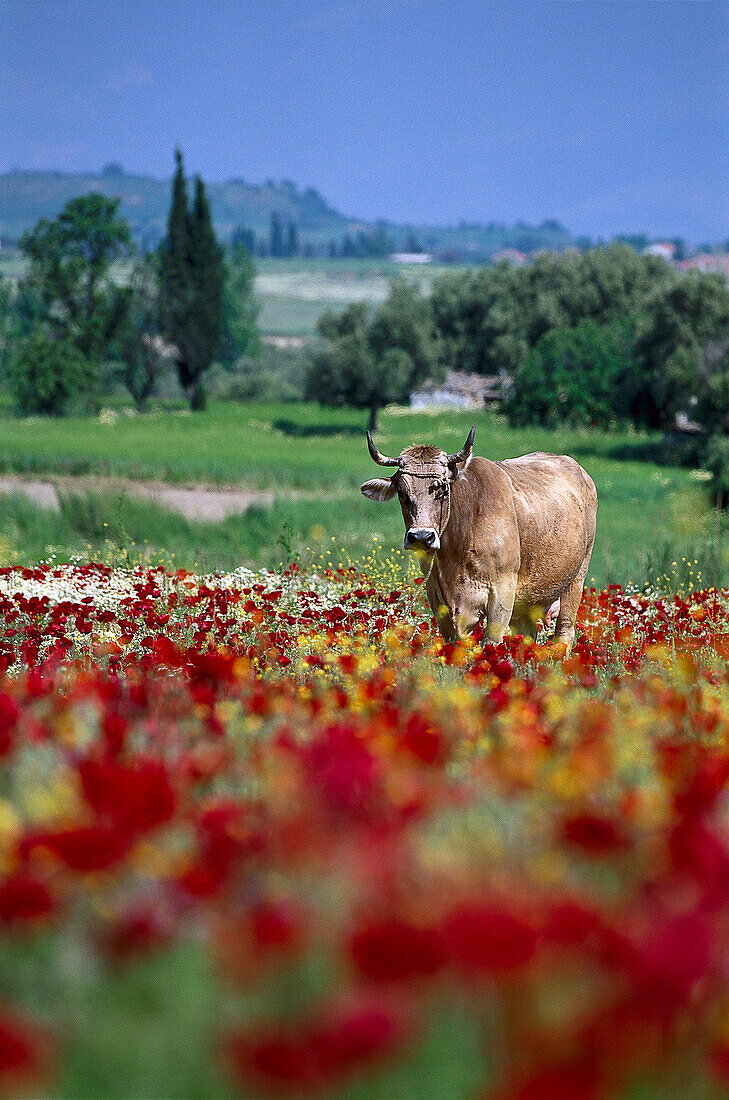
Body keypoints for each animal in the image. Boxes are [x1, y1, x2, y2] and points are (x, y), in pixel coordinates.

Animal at [362, 424, 598, 651]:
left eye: (443, 490)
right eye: (401, 493)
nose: (421, 536)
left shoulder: (502, 592)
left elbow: (491, 644)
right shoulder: (436, 596)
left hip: (576, 578)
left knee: (564, 633)